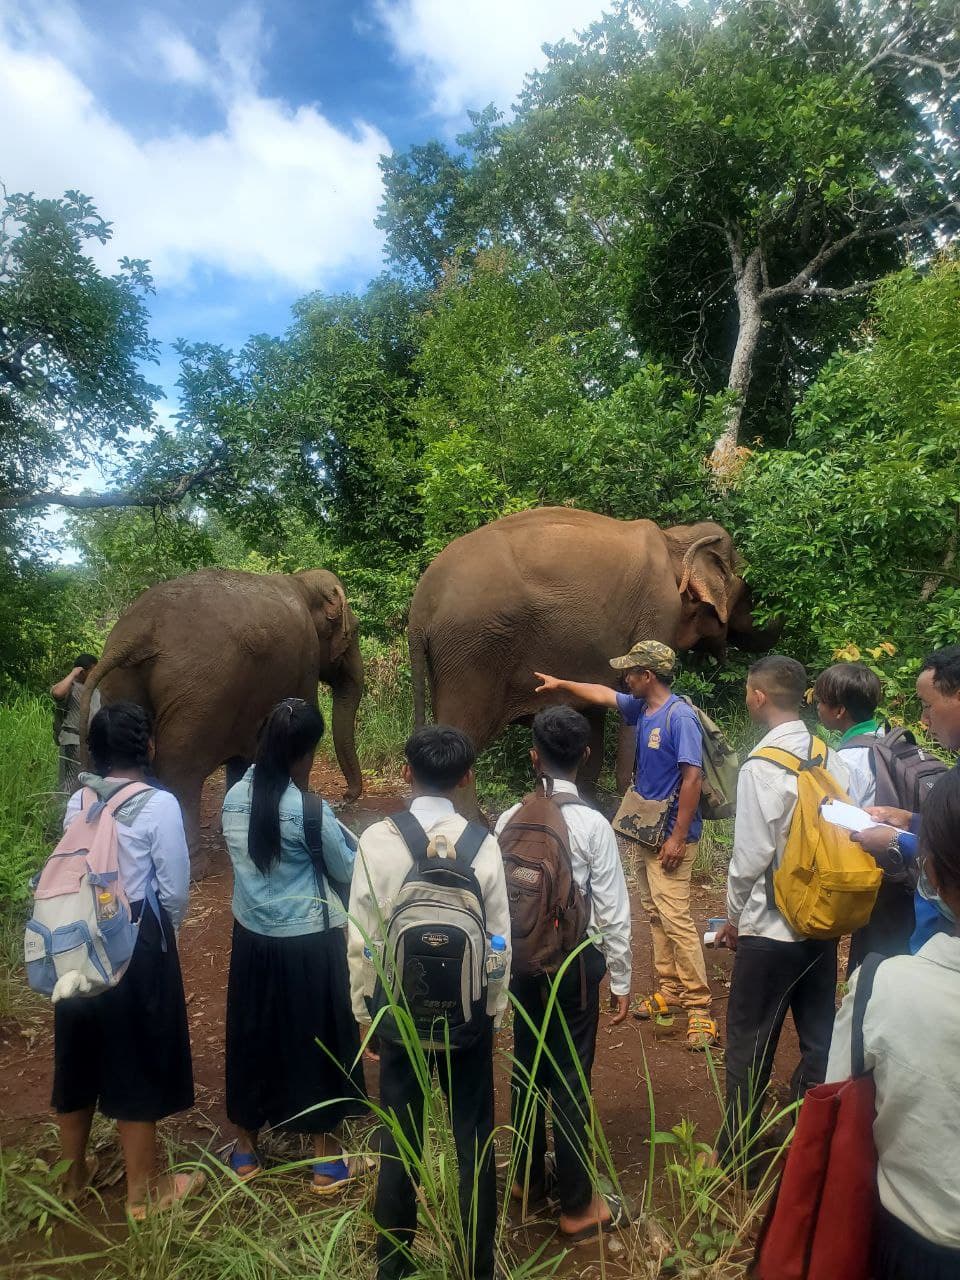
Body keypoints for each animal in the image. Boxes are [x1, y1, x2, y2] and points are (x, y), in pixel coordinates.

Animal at [82, 568, 363, 870]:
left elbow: (242, 757)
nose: (346, 798)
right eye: (355, 630)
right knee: (180, 767)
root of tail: (136, 633)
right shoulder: (305, 660)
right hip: (199, 692)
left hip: (124, 682)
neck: (300, 581)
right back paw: (195, 865)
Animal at [409, 506, 778, 798]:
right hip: (473, 652)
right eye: (749, 593)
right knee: (463, 737)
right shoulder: (659, 611)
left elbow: (593, 714)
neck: (676, 539)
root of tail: (419, 607)